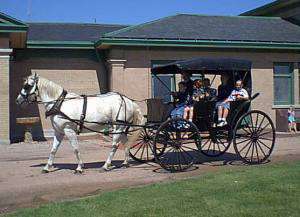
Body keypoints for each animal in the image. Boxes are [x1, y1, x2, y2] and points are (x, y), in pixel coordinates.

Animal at [16, 73, 145, 173]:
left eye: (27, 86)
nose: (18, 100)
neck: (60, 104)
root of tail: (128, 100)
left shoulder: (69, 130)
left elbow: (75, 148)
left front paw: (79, 167)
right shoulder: (58, 132)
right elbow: (53, 150)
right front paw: (47, 167)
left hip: (118, 127)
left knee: (115, 145)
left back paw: (106, 165)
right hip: (122, 128)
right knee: (126, 143)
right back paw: (125, 162)